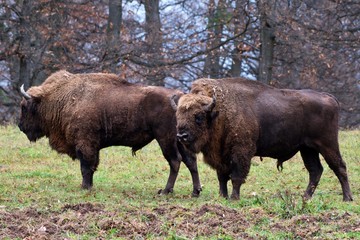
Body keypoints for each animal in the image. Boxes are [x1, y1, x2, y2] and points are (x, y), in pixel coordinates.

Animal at [19, 70, 202, 197]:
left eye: (24, 107)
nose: (20, 126)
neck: (62, 98)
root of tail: (180, 98)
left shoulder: (85, 144)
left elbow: (86, 167)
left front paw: (85, 187)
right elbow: (91, 167)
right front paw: (89, 186)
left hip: (165, 139)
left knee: (175, 161)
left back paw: (165, 191)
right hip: (180, 139)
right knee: (190, 161)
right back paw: (195, 192)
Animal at [173, 78, 352, 201]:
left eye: (198, 116)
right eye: (178, 115)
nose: (182, 136)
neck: (218, 113)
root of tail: (328, 97)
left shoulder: (241, 152)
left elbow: (236, 176)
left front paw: (234, 198)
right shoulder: (220, 156)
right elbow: (222, 177)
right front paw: (223, 197)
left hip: (327, 144)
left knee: (339, 166)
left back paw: (347, 198)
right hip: (307, 149)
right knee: (315, 170)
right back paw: (305, 197)